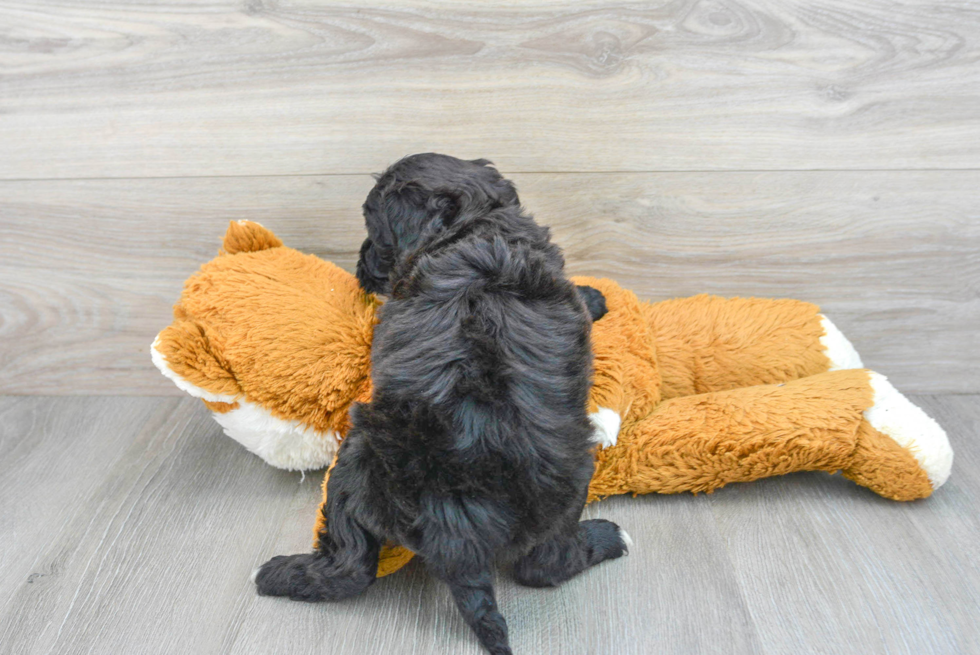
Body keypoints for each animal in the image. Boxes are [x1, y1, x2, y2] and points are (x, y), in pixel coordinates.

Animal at [253, 155, 628, 655]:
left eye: (374, 230)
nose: (360, 264)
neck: (469, 227)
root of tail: (450, 516)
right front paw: (595, 296)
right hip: (567, 485)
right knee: (542, 566)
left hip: (355, 464)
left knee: (352, 566)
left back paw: (277, 574)